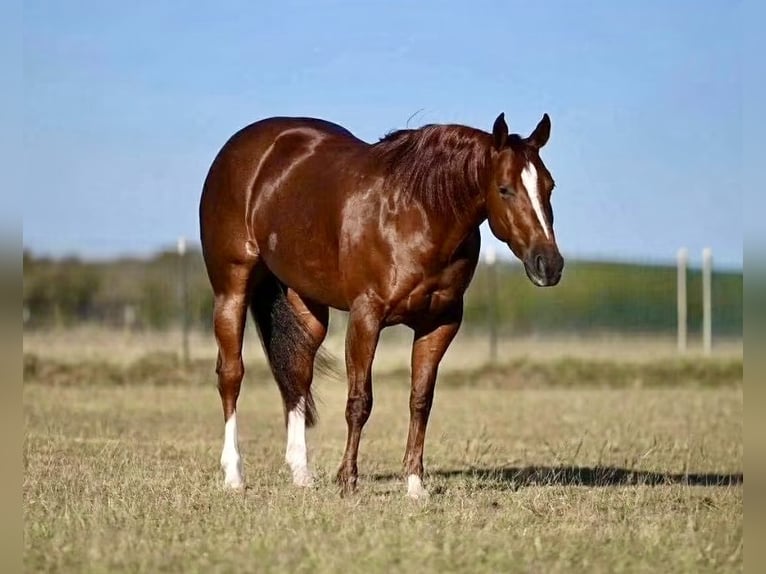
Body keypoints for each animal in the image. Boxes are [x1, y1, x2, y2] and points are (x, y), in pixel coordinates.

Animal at [199, 112, 563, 498]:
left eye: (549, 186)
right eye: (505, 188)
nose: (549, 264)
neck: (419, 215)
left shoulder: (440, 322)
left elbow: (420, 400)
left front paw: (415, 485)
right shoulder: (366, 316)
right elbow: (360, 401)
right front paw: (347, 480)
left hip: (307, 306)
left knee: (297, 374)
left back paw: (302, 473)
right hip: (231, 289)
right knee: (231, 374)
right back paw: (234, 475)